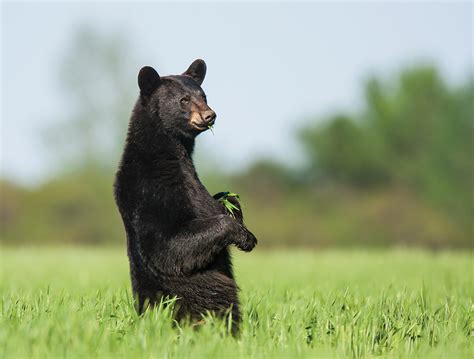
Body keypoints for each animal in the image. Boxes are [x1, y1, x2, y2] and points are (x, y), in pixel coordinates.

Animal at [113, 58, 258, 330]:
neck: (168, 154)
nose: (210, 114)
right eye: (184, 99)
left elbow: (219, 200)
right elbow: (168, 246)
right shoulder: (150, 190)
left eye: (204, 95)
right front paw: (244, 236)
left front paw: (232, 204)